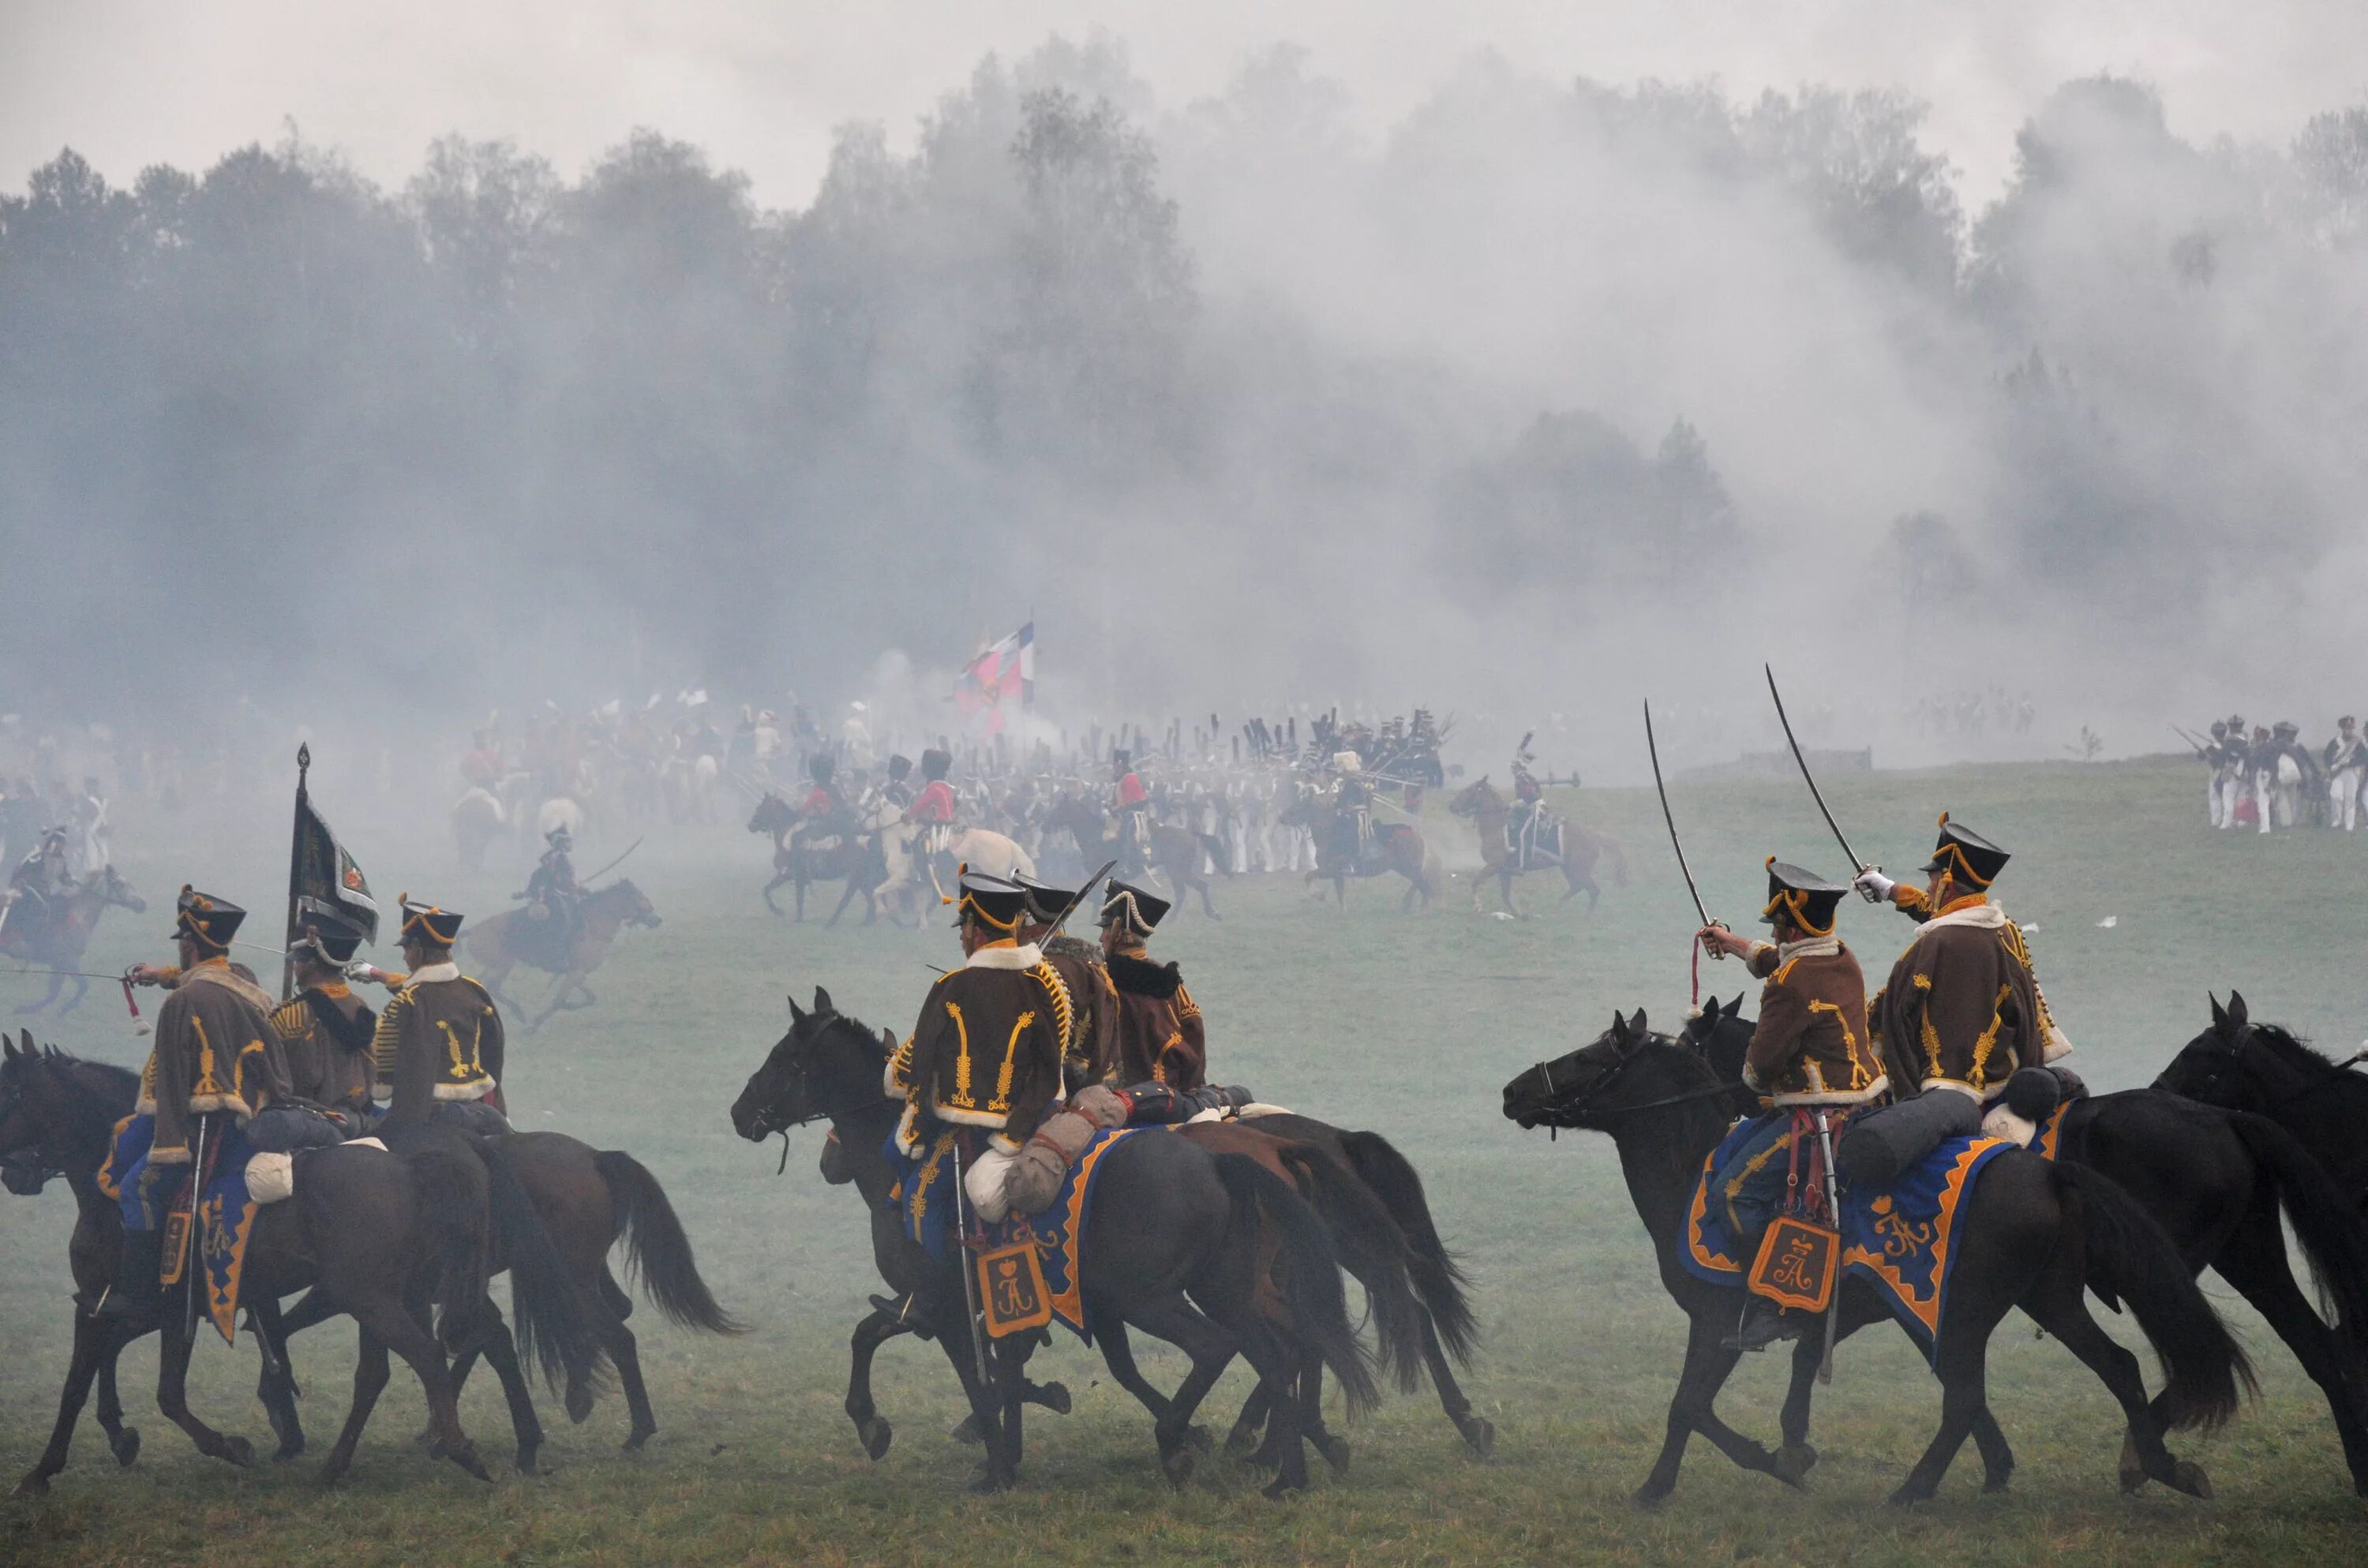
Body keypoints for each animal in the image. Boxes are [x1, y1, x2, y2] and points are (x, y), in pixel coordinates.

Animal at [729, 994, 1383, 1496]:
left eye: (784, 1056)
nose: (740, 1112)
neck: (906, 1164)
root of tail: (1223, 1161)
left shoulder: (941, 1305)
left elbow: (961, 1374)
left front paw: (978, 1461)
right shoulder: (978, 1307)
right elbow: (975, 1363)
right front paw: (1003, 1444)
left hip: (1154, 1298)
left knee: (1222, 1347)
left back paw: (1184, 1443)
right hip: (1223, 1287)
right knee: (1280, 1349)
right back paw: (1287, 1471)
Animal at [1506, 1018, 2245, 1515]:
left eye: (1591, 1057)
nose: (1514, 1090)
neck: (1694, 1171)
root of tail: (2045, 1170)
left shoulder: (1719, 1316)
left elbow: (1689, 1405)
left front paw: (1668, 1484)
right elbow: (1731, 1397)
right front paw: (1786, 1453)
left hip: (1969, 1308)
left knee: (1966, 1394)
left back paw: (1912, 1490)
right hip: (2046, 1297)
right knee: (2114, 1365)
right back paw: (2164, 1467)